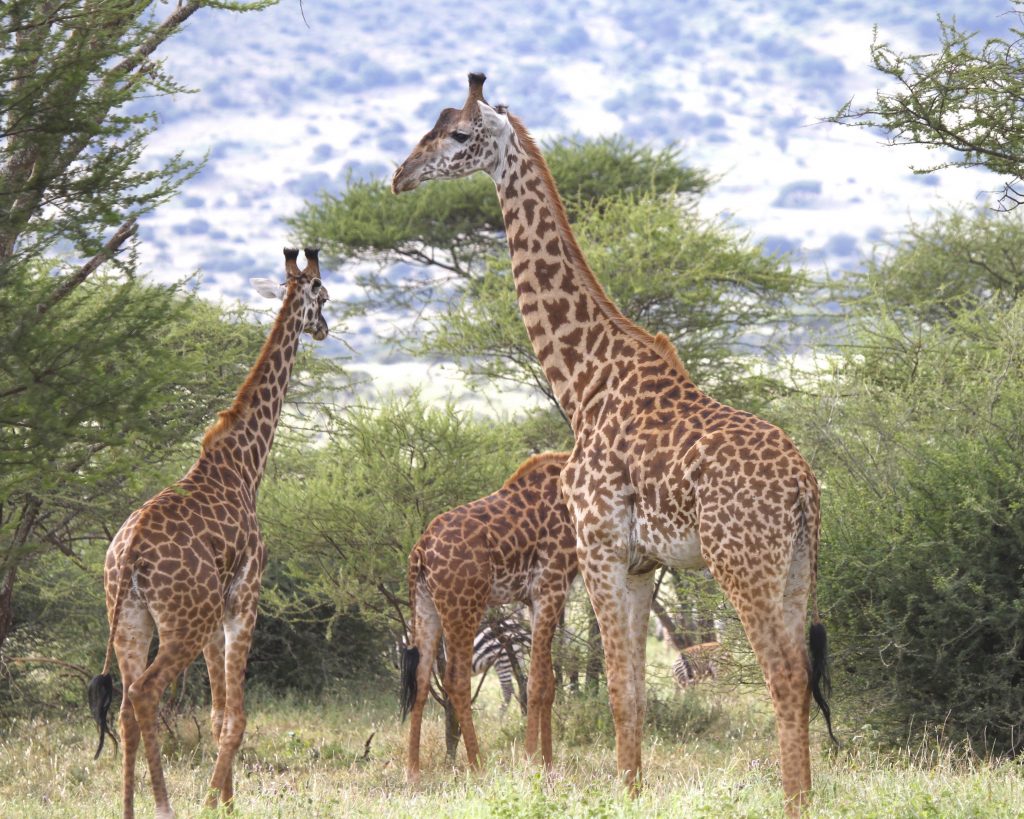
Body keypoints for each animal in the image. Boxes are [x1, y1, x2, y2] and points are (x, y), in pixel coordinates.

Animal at [88, 249, 329, 818]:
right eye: (325, 298)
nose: (325, 329)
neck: (244, 466)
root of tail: (128, 555)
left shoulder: (217, 614)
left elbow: (220, 715)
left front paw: (226, 800)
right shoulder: (244, 598)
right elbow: (237, 718)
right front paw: (213, 803)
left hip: (131, 619)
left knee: (126, 702)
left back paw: (129, 807)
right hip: (183, 622)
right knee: (145, 693)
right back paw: (165, 806)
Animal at [399, 454, 577, 782]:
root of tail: (419, 552)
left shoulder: (534, 597)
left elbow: (548, 681)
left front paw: (548, 765)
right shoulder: (551, 585)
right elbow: (537, 682)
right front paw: (530, 762)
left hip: (426, 606)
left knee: (420, 677)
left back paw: (414, 771)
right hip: (465, 605)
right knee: (455, 679)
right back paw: (477, 765)